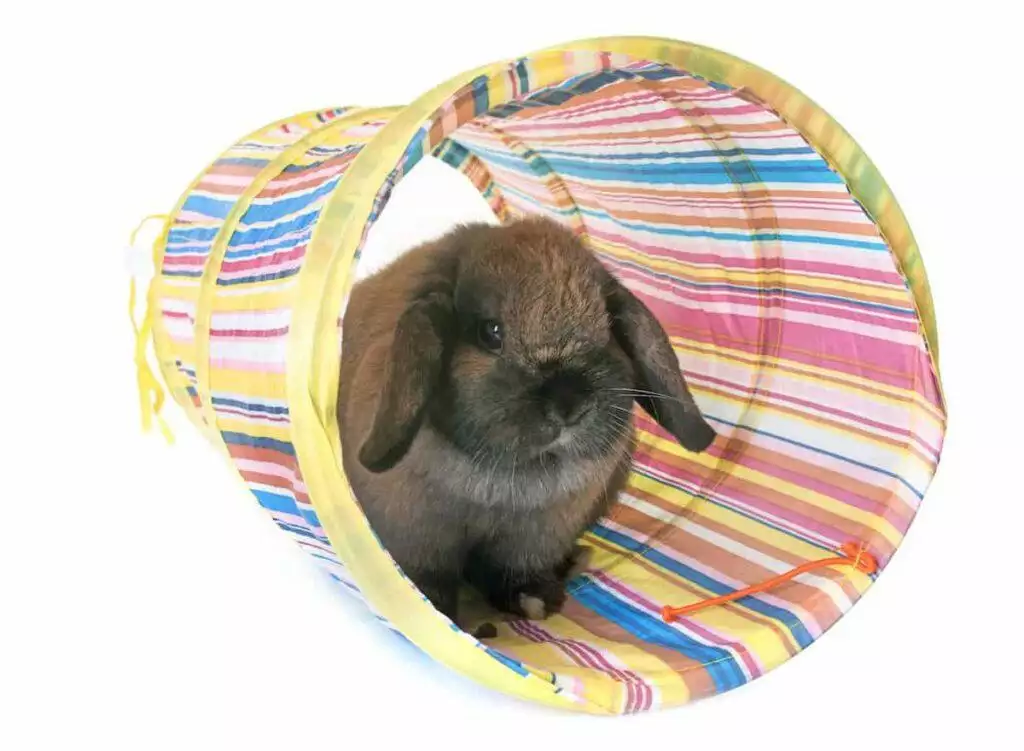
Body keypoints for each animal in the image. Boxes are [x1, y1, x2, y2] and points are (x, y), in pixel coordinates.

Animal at [338, 216, 716, 626]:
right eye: (491, 332)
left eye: (606, 326)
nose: (569, 405)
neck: (510, 480)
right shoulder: (415, 533)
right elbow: (426, 574)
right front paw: (431, 607)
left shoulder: (536, 538)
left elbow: (515, 570)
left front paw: (534, 601)